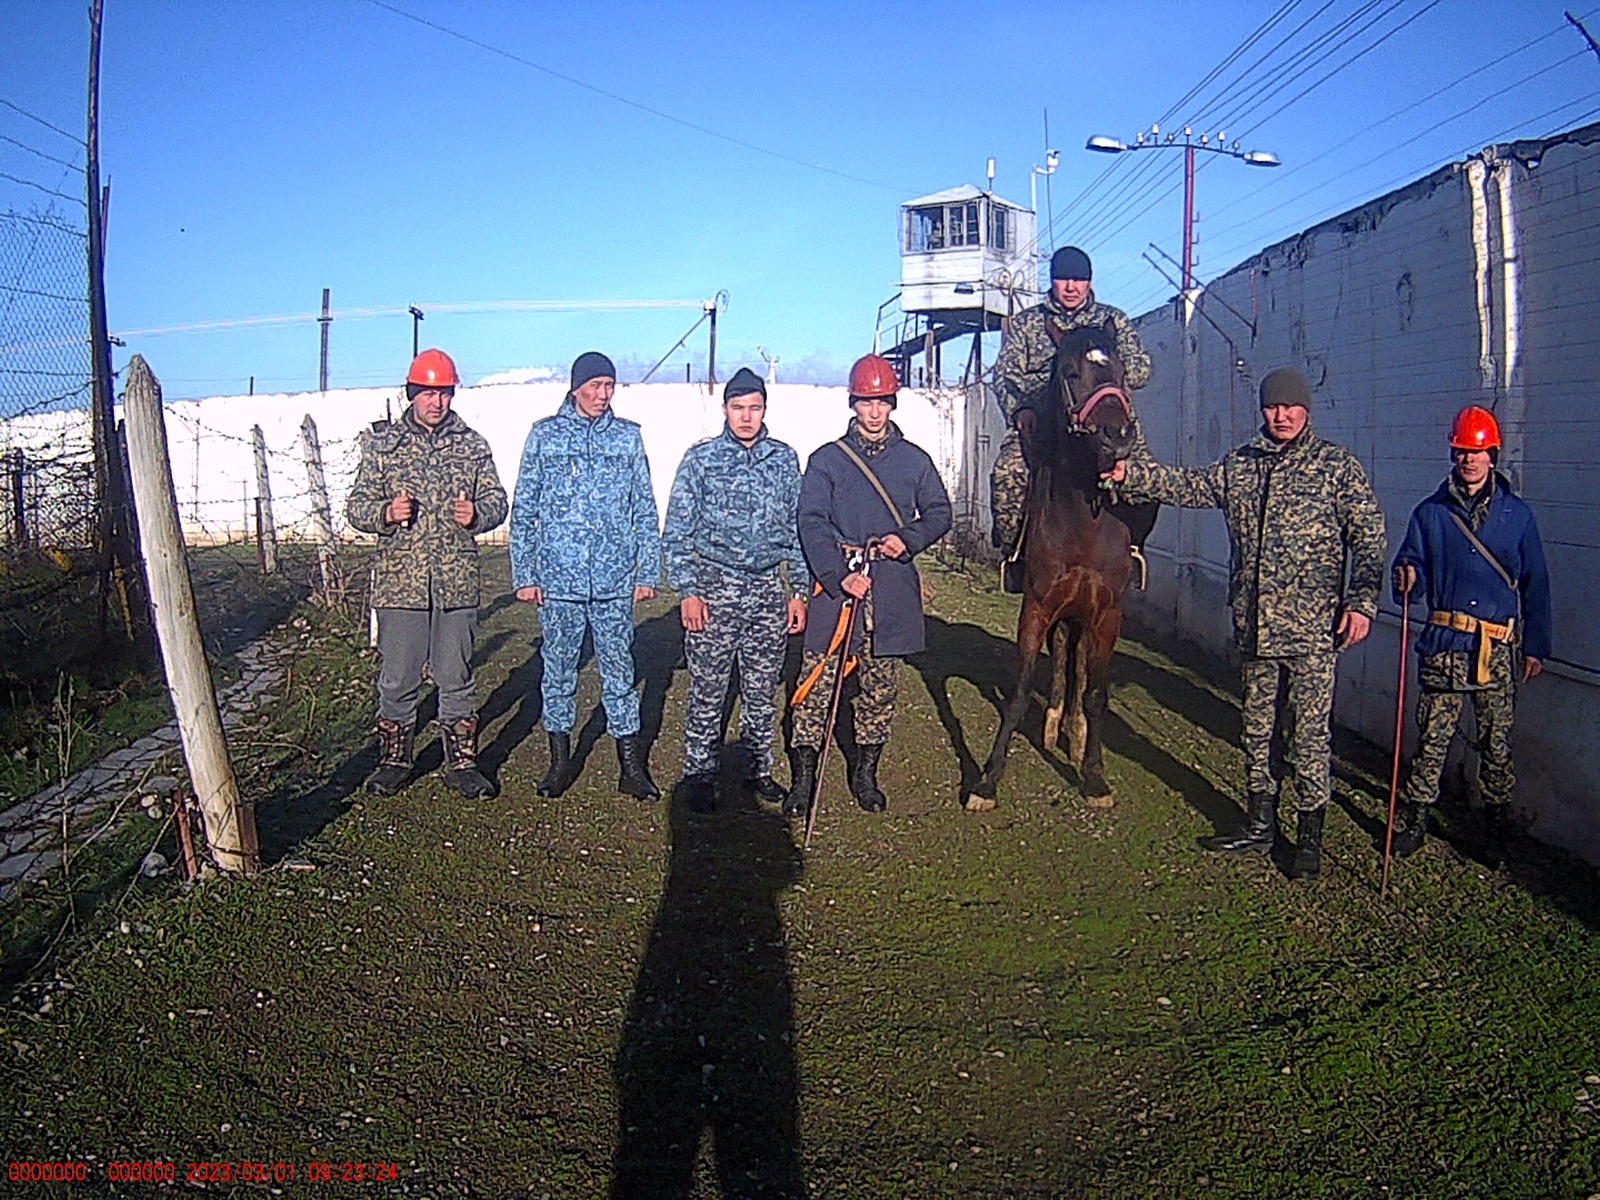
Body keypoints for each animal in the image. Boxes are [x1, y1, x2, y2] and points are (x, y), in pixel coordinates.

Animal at [966, 320, 1145, 812]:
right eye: (1069, 371)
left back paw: (1076, 732)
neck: (1083, 518)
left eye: (1121, 370)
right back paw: (1053, 723)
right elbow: (1019, 691)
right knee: (1065, 655)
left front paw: (1095, 778)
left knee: (1078, 668)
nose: (1117, 437)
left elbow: (1098, 693)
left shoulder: (1108, 614)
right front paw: (987, 781)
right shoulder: (1038, 607)